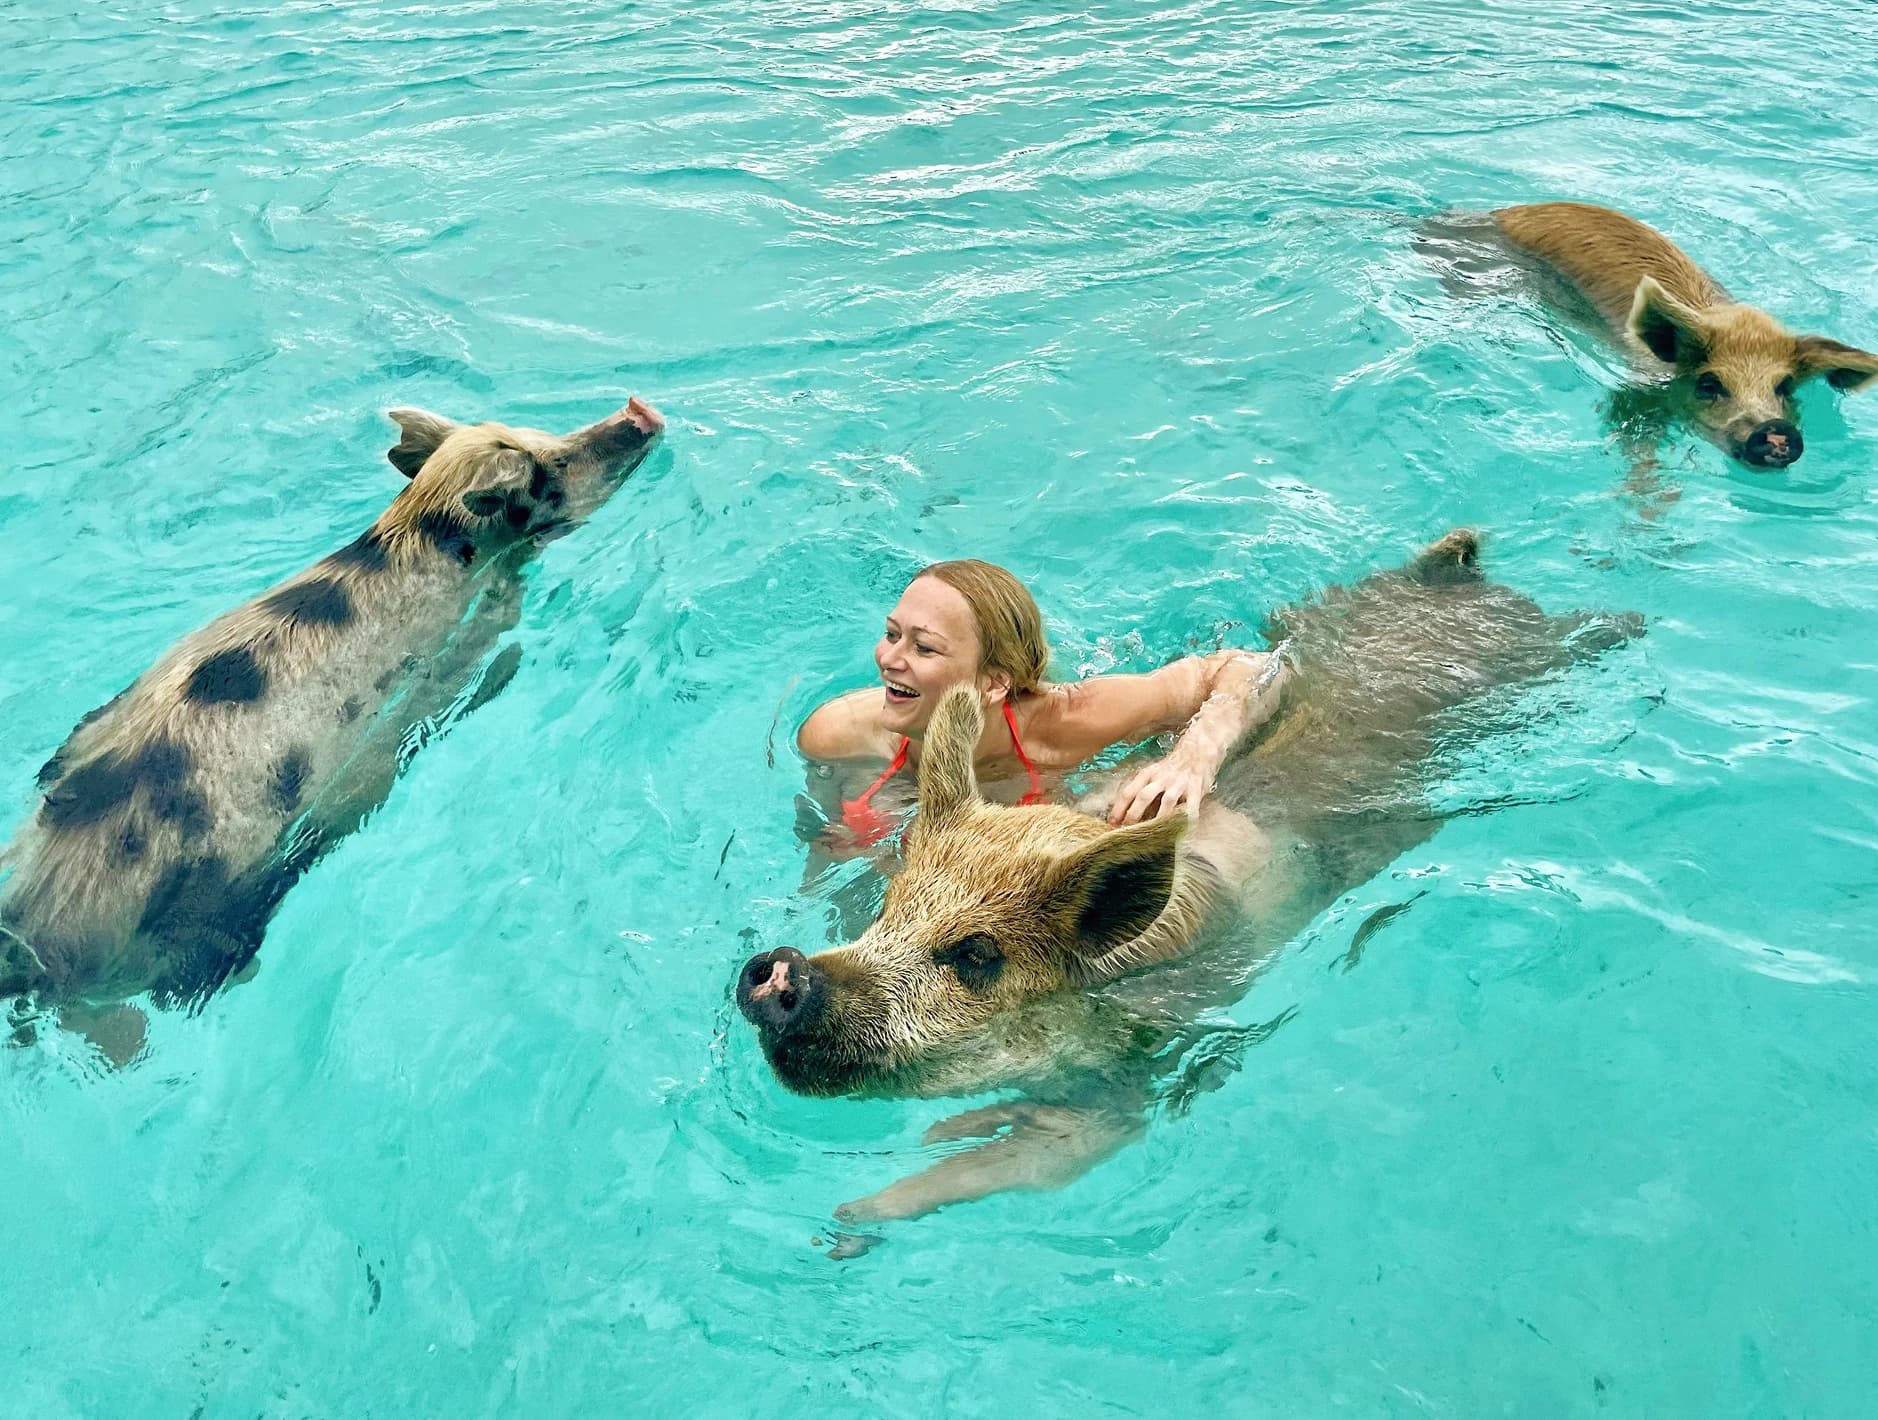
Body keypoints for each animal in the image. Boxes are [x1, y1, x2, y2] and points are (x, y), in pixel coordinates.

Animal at [1, 396, 664, 1050]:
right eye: (552, 470)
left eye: (546, 435)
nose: (639, 413)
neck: (422, 528)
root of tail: (30, 938)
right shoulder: (468, 643)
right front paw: (513, 668)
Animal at [736, 531, 1641, 1238]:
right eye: (890, 908)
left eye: (978, 955)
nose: (783, 969)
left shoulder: (1139, 1075)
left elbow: (1040, 1160)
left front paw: (847, 1223)